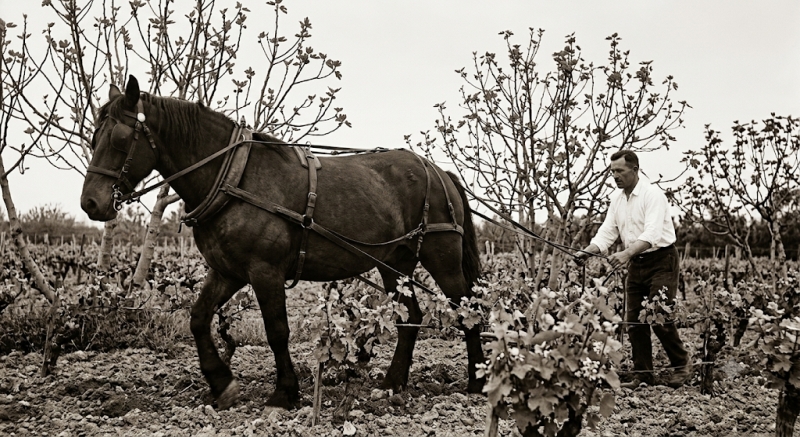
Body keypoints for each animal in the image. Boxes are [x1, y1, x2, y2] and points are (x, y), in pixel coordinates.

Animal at [80, 75, 486, 410]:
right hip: (395, 263)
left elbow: (277, 331)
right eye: (93, 137)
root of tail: (439, 170)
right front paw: (222, 384)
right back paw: (393, 383)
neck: (233, 178)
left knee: (468, 309)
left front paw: (284, 393)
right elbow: (198, 318)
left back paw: (477, 381)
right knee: (410, 317)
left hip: (441, 257)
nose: (90, 203)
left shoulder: (265, 271)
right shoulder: (227, 272)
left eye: (120, 138)